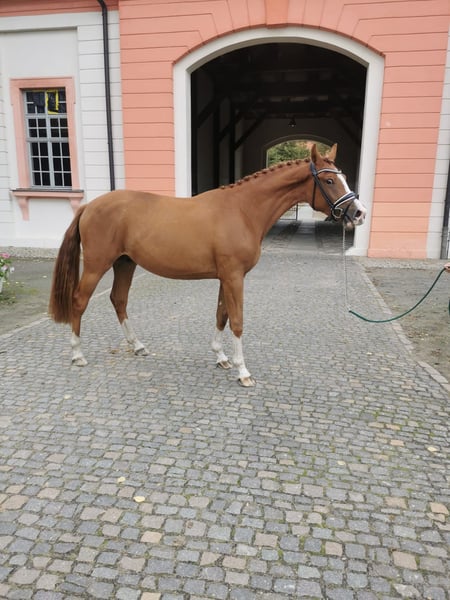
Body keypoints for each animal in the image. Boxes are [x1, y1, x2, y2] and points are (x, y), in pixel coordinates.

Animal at [48, 144, 366, 386]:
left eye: (343, 177)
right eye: (329, 181)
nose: (359, 213)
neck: (243, 210)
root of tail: (89, 206)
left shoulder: (226, 277)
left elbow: (221, 315)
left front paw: (222, 357)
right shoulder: (234, 276)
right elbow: (237, 321)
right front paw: (242, 371)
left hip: (125, 263)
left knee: (119, 299)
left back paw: (137, 346)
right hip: (97, 265)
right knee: (79, 301)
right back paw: (77, 354)